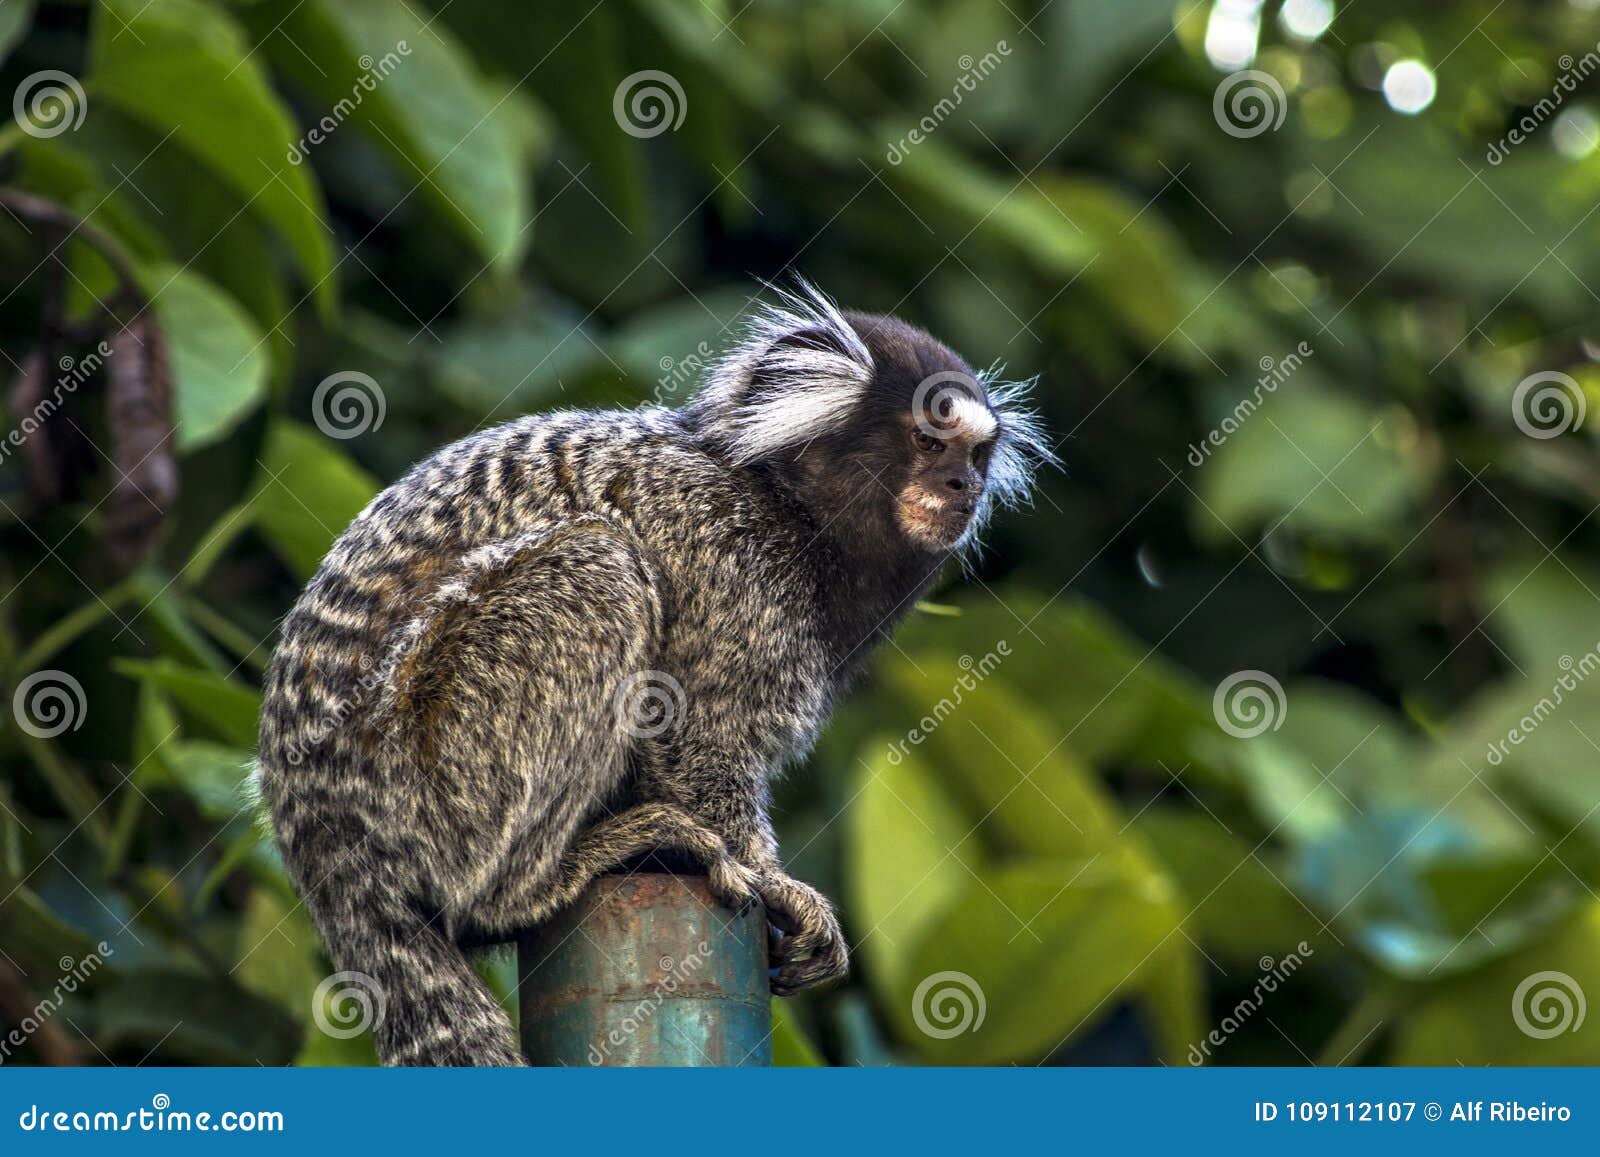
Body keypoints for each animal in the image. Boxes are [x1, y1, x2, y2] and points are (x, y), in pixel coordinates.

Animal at [257, 283, 1056, 1068]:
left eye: (977, 453)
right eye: (927, 439)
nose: (961, 484)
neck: (788, 509)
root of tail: (319, 838)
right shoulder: (722, 555)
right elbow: (693, 731)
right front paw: (774, 881)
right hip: (428, 768)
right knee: (600, 563)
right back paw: (527, 887)